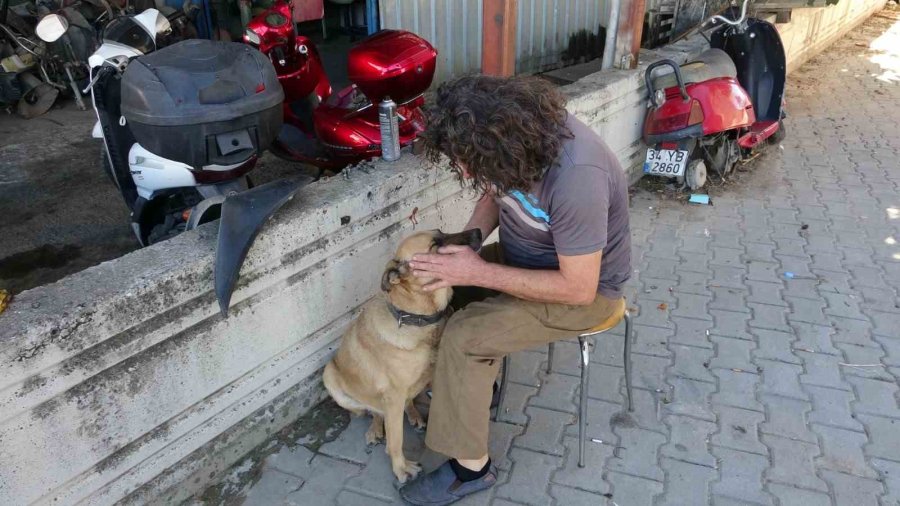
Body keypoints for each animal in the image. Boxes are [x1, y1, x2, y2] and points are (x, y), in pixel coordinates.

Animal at [322, 228, 482, 482]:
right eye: (435, 244)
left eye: (442, 232)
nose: (478, 231)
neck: (416, 319)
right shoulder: (393, 395)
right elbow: (396, 439)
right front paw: (401, 468)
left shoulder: (434, 375)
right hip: (330, 377)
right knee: (374, 412)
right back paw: (375, 429)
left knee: (405, 403)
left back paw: (413, 415)